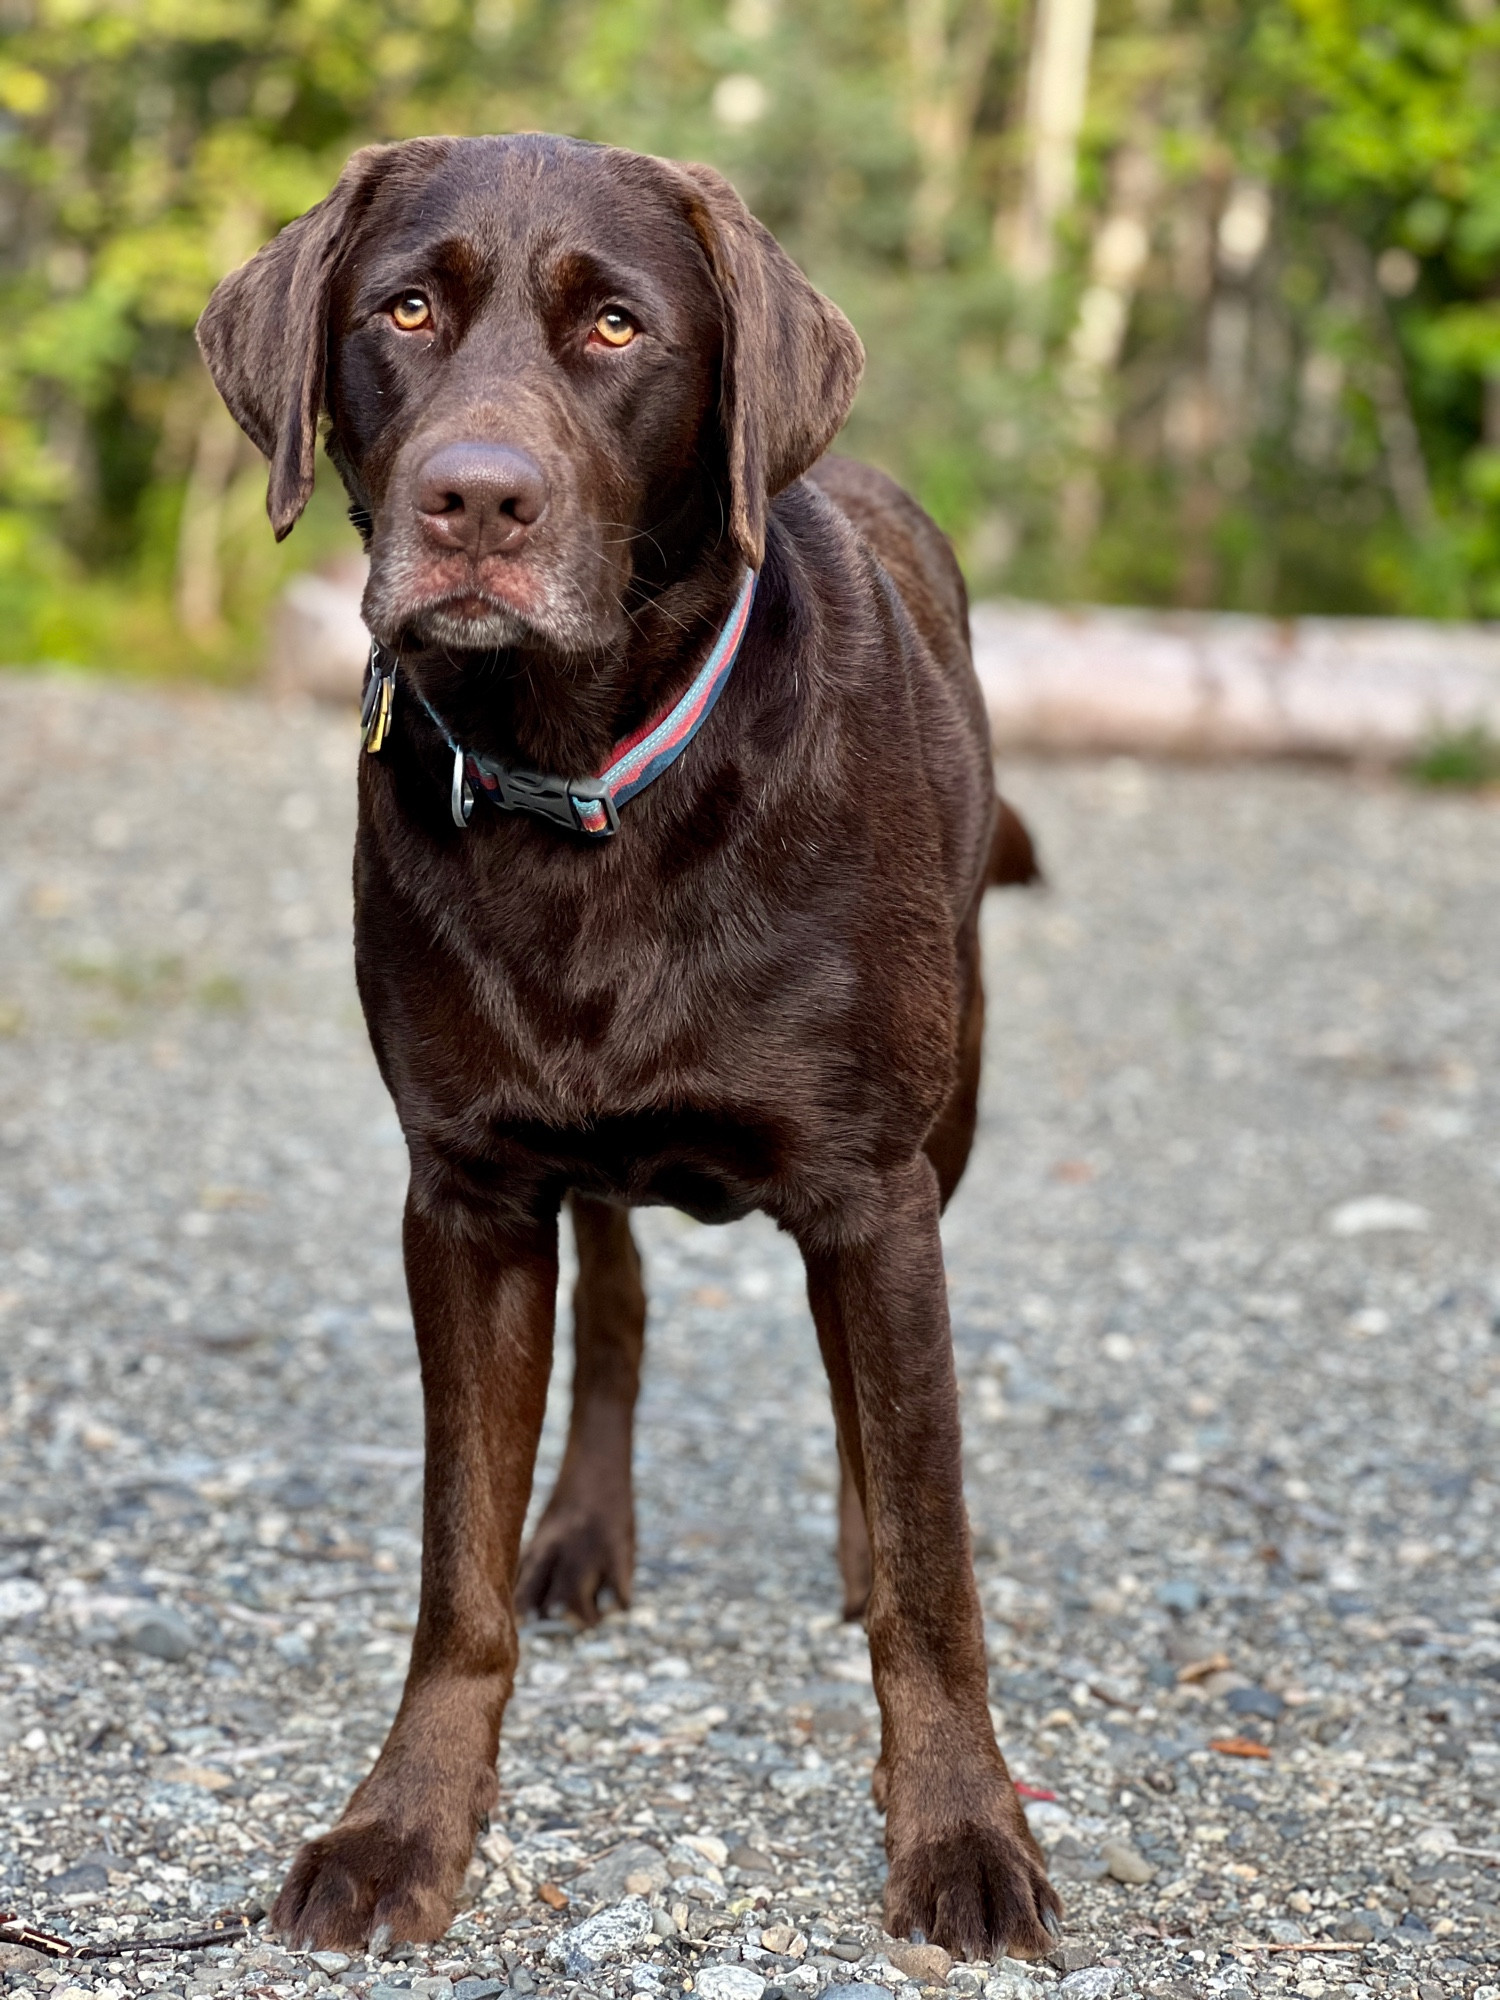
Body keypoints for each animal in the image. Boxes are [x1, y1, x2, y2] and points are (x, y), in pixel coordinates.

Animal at [200, 133, 1064, 1960]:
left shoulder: (874, 1191)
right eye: (403, 310)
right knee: (619, 1305)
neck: (591, 779)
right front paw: (405, 1823)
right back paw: (584, 1524)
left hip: (940, 1128)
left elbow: (934, 1562)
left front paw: (962, 1828)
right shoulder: (464, 1196)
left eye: (614, 326)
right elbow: (456, 1568)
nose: (475, 501)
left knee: (867, 1411)